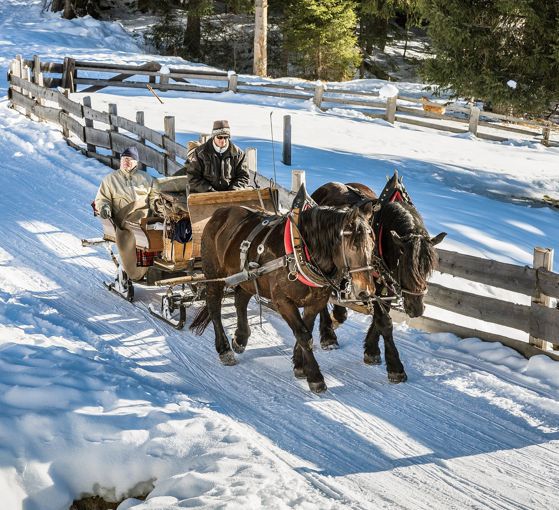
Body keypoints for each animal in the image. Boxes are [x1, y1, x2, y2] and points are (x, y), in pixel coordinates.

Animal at [190, 204, 378, 394]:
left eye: (373, 244)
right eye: (353, 246)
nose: (367, 291)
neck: (300, 251)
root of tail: (219, 212)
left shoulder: (316, 302)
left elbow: (306, 331)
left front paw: (299, 365)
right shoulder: (283, 301)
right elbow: (304, 336)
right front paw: (315, 377)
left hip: (248, 278)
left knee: (240, 299)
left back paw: (240, 339)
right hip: (214, 275)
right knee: (214, 308)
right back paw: (224, 350)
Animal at [310, 179, 446, 382]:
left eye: (428, 268)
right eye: (405, 266)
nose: (417, 309)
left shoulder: (385, 284)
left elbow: (380, 318)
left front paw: (372, 350)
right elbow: (385, 322)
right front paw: (395, 367)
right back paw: (328, 335)